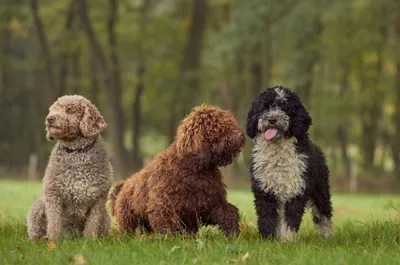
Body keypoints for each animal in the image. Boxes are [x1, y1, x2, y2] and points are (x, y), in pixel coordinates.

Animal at [111, 103, 245, 235]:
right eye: (217, 127)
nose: (241, 135)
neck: (195, 170)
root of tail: (124, 185)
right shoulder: (164, 207)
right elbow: (167, 228)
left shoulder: (209, 203)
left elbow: (227, 212)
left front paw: (233, 233)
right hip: (129, 219)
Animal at [245, 85, 332, 240]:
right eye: (265, 107)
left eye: (285, 107)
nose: (272, 119)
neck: (278, 157)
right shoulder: (265, 191)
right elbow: (267, 219)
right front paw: (268, 239)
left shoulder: (295, 190)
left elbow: (291, 219)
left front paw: (287, 240)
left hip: (320, 191)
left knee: (323, 214)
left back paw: (327, 236)